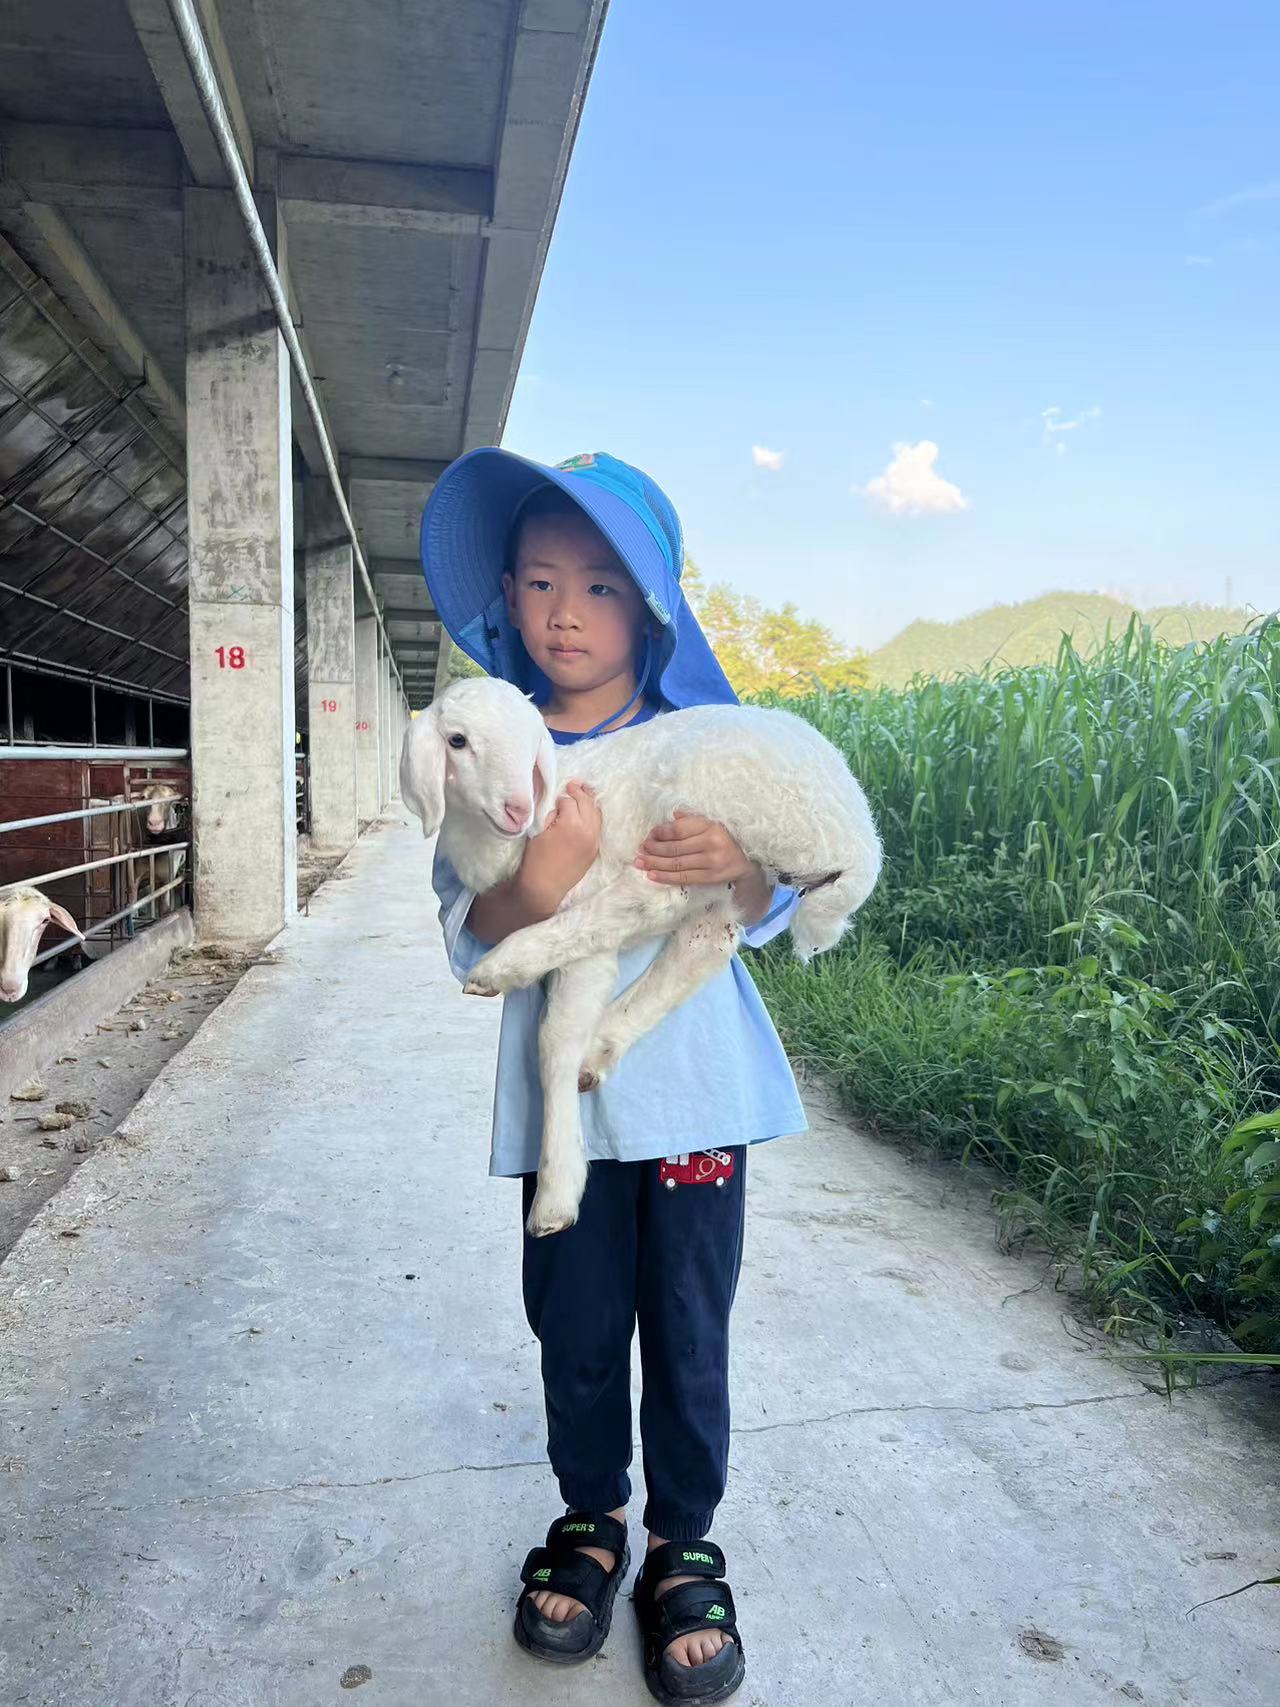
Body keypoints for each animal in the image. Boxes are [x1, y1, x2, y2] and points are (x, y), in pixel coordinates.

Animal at [401, 677, 882, 1238]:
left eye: (529, 741)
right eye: (457, 741)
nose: (518, 809)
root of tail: (856, 837)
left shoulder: (581, 924)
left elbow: (554, 1040)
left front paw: (556, 1193)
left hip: (708, 805)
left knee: (659, 898)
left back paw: (504, 965)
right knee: (705, 940)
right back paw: (601, 1044)